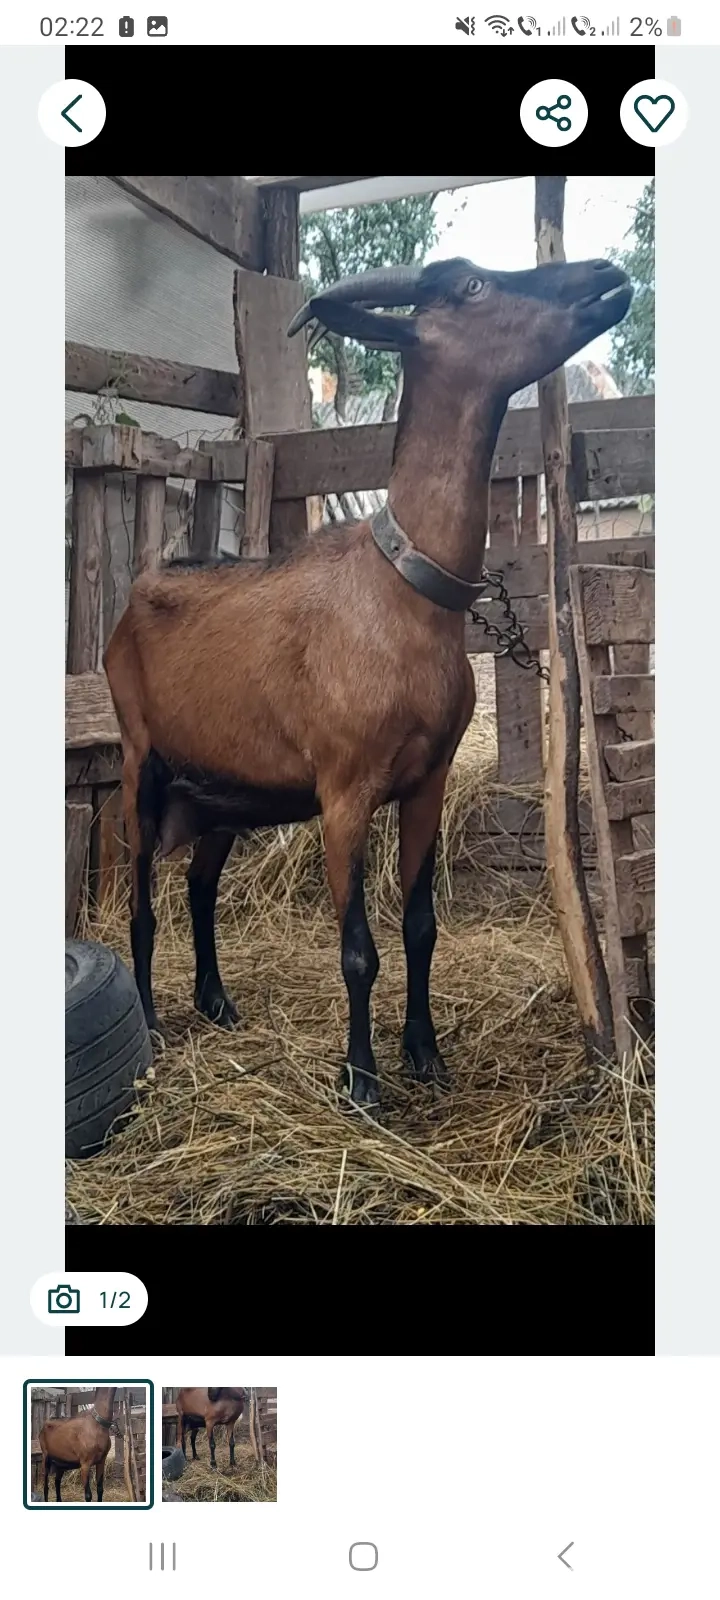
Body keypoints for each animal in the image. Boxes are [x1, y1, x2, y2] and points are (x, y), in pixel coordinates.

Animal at [105, 254, 632, 1110]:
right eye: (473, 286)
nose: (605, 273)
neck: (403, 593)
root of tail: (134, 599)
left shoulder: (429, 781)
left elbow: (420, 927)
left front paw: (426, 1053)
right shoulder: (345, 791)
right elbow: (359, 950)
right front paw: (360, 1079)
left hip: (224, 791)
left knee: (201, 886)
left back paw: (217, 1002)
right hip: (139, 763)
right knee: (144, 905)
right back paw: (149, 1025)